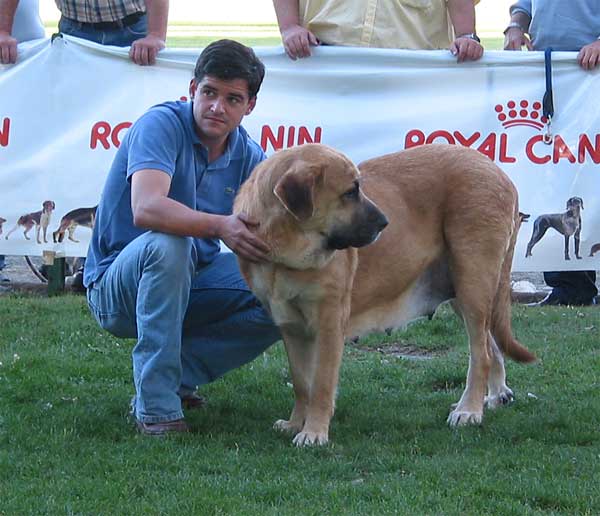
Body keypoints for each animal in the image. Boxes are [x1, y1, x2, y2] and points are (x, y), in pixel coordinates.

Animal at [233, 143, 536, 446]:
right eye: (350, 192)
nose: (384, 222)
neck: (283, 252)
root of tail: (497, 171)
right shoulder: (291, 327)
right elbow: (301, 384)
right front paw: (296, 423)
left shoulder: (328, 323)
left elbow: (320, 384)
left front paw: (314, 432)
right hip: (461, 291)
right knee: (490, 344)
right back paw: (495, 395)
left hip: (472, 281)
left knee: (480, 353)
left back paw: (468, 410)